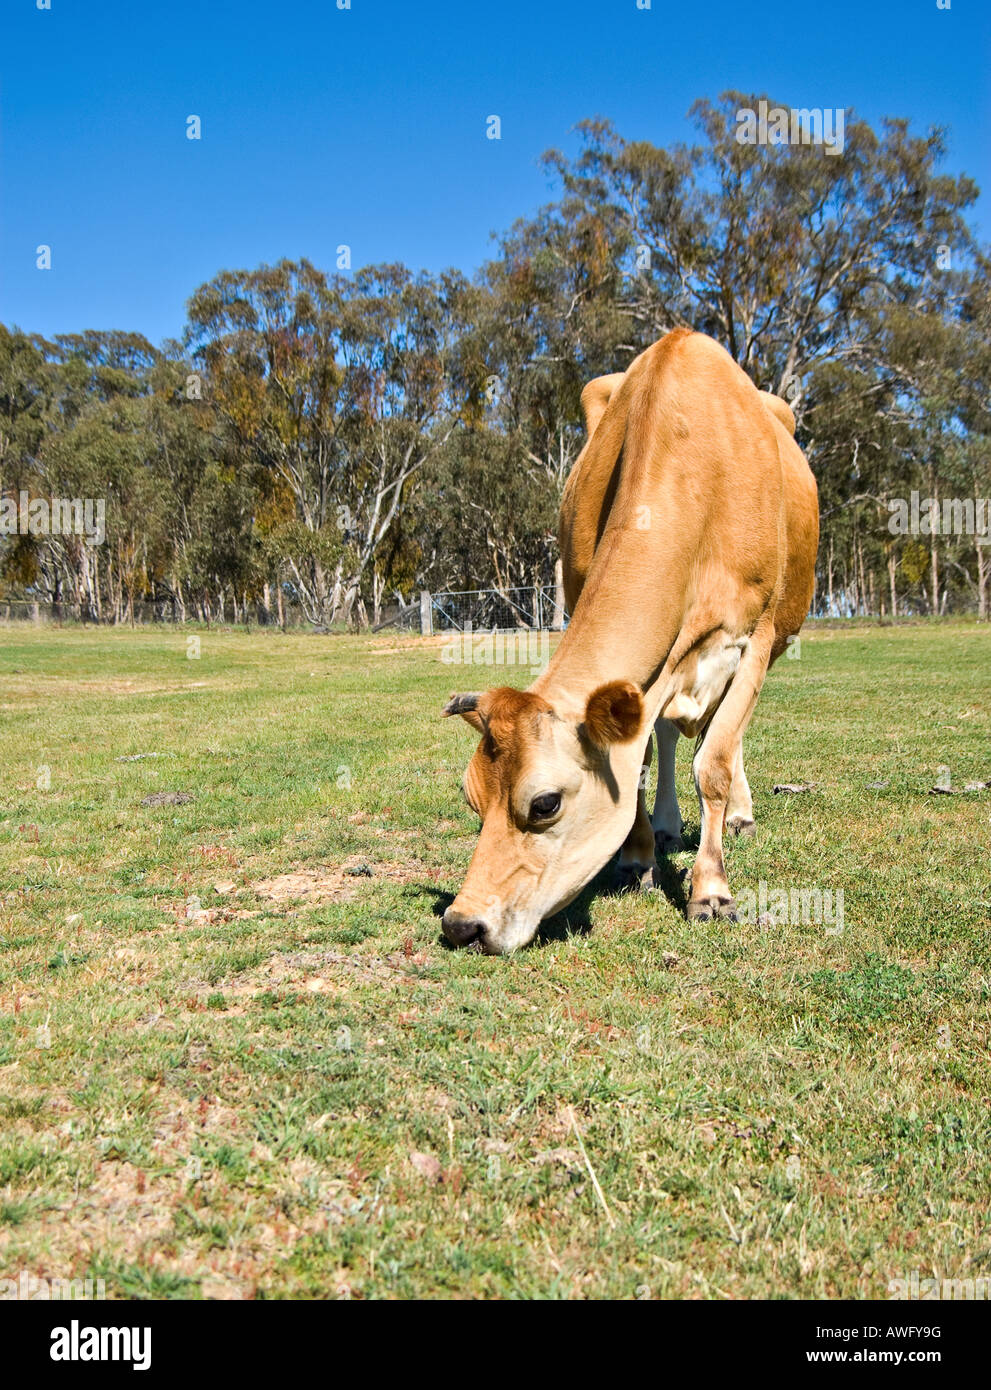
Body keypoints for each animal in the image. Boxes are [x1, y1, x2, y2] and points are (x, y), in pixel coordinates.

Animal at [441, 326, 817, 956]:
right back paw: (665, 826)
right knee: (666, 734)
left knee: (724, 736)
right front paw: (638, 857)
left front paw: (710, 890)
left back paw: (738, 814)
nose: (462, 925)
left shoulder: (757, 637)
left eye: (545, 803)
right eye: (473, 798)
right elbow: (636, 758)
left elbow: (714, 761)